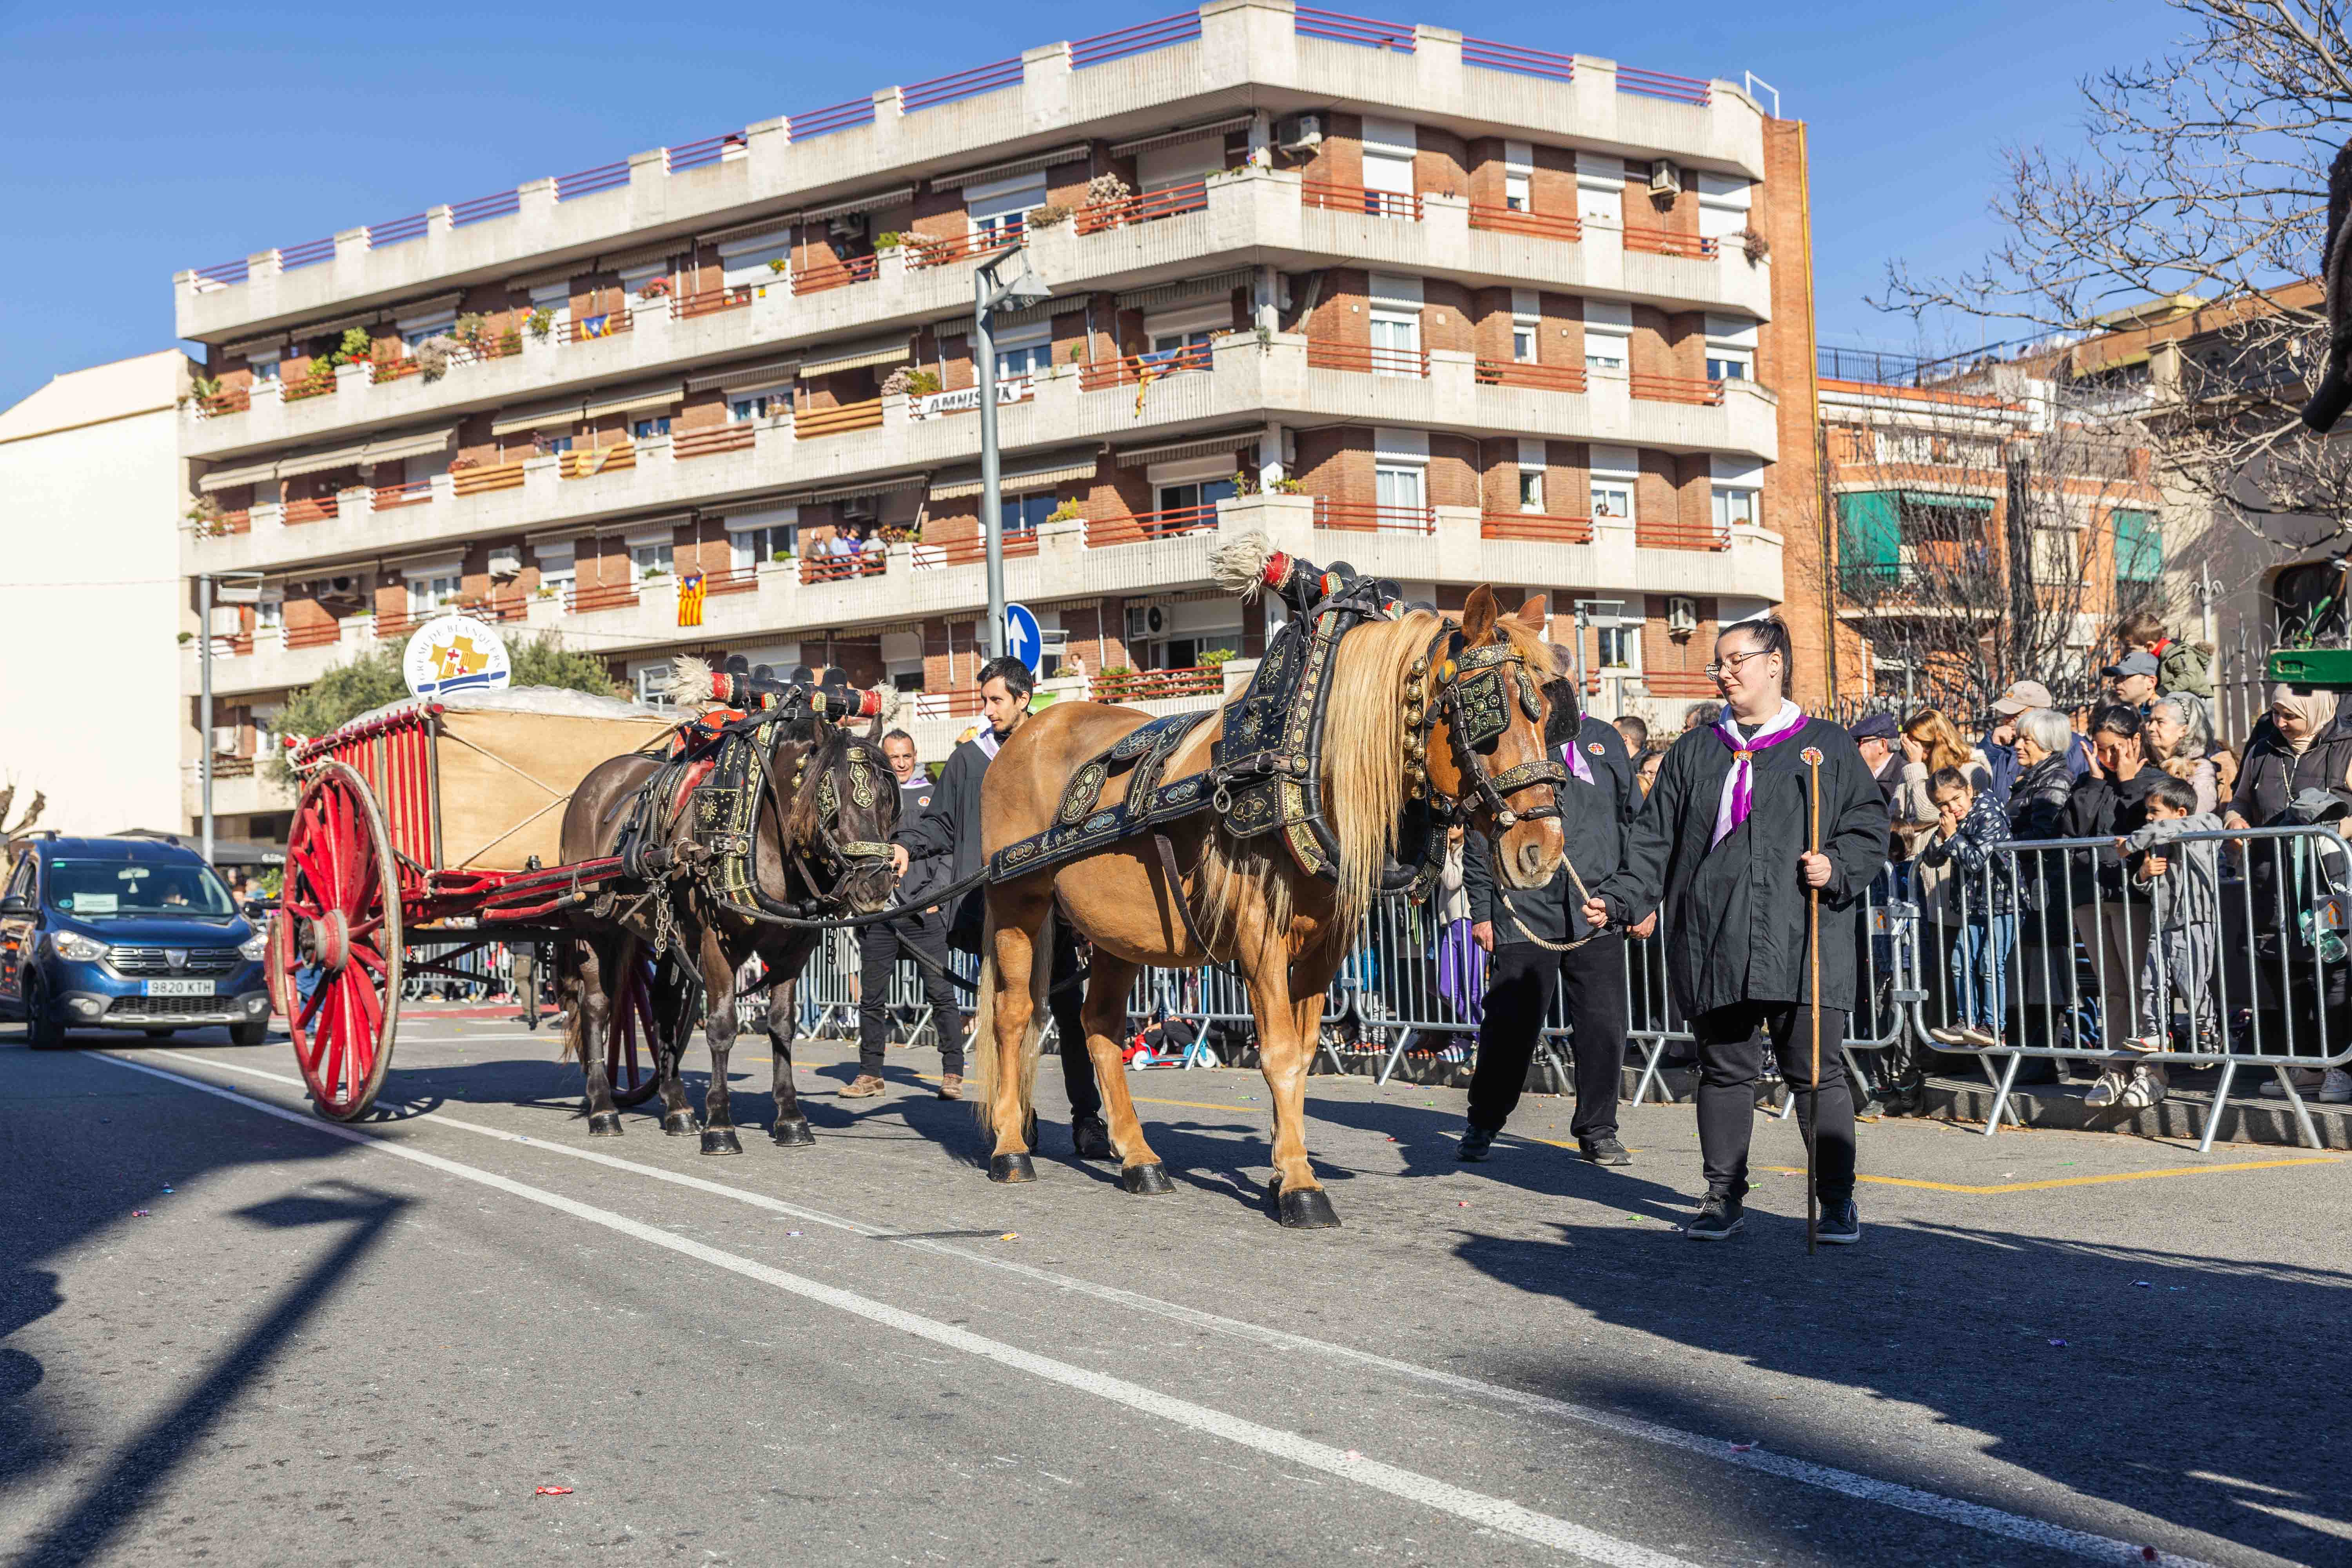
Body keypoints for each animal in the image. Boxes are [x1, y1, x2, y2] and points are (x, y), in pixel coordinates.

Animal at [555, 668, 903, 1161]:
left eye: (888, 797)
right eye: (831, 800)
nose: (875, 885)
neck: (761, 830)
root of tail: (595, 782)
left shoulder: (793, 948)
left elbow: (782, 1027)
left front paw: (790, 1117)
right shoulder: (716, 942)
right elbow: (722, 1026)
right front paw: (720, 1124)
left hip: (661, 936)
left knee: (662, 1007)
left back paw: (677, 1108)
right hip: (596, 930)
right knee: (597, 1008)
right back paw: (604, 1108)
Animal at [964, 552, 1571, 1222]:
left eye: (1549, 711)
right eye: (1488, 714)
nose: (1542, 851)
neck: (1302, 763)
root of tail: (1025, 733)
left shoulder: (1327, 948)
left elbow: (1303, 1056)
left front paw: (1285, 1166)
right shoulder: (1260, 940)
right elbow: (1277, 1053)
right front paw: (1302, 1185)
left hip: (1121, 933)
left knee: (1098, 1026)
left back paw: (1138, 1158)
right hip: (1017, 902)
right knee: (1013, 1015)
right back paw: (1010, 1147)